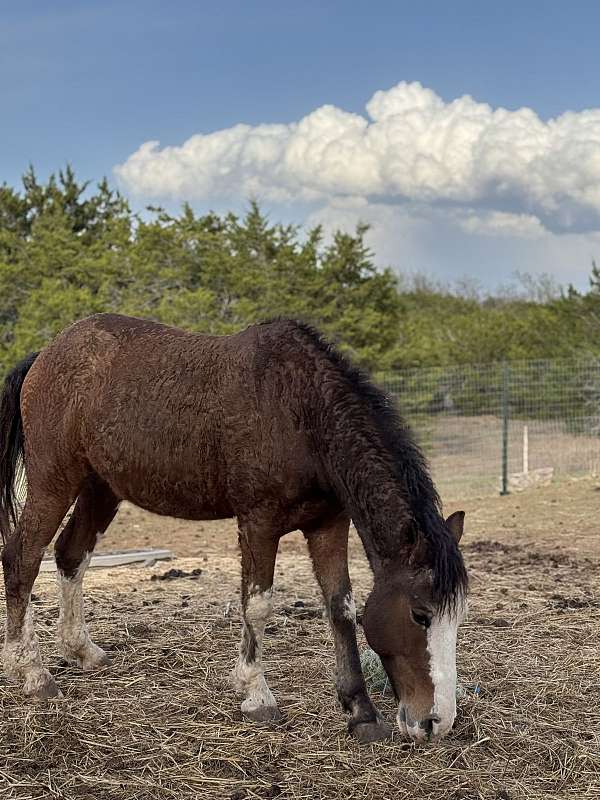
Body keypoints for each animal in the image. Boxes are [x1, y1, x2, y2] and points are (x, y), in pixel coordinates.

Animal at [0, 313, 467, 743]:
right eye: (420, 615)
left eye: (457, 615)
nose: (436, 722)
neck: (299, 409)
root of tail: (44, 356)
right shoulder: (259, 523)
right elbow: (257, 606)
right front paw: (257, 696)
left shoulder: (328, 524)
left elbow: (342, 609)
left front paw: (362, 714)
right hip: (54, 482)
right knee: (22, 557)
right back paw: (34, 674)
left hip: (101, 488)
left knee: (70, 554)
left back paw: (82, 651)